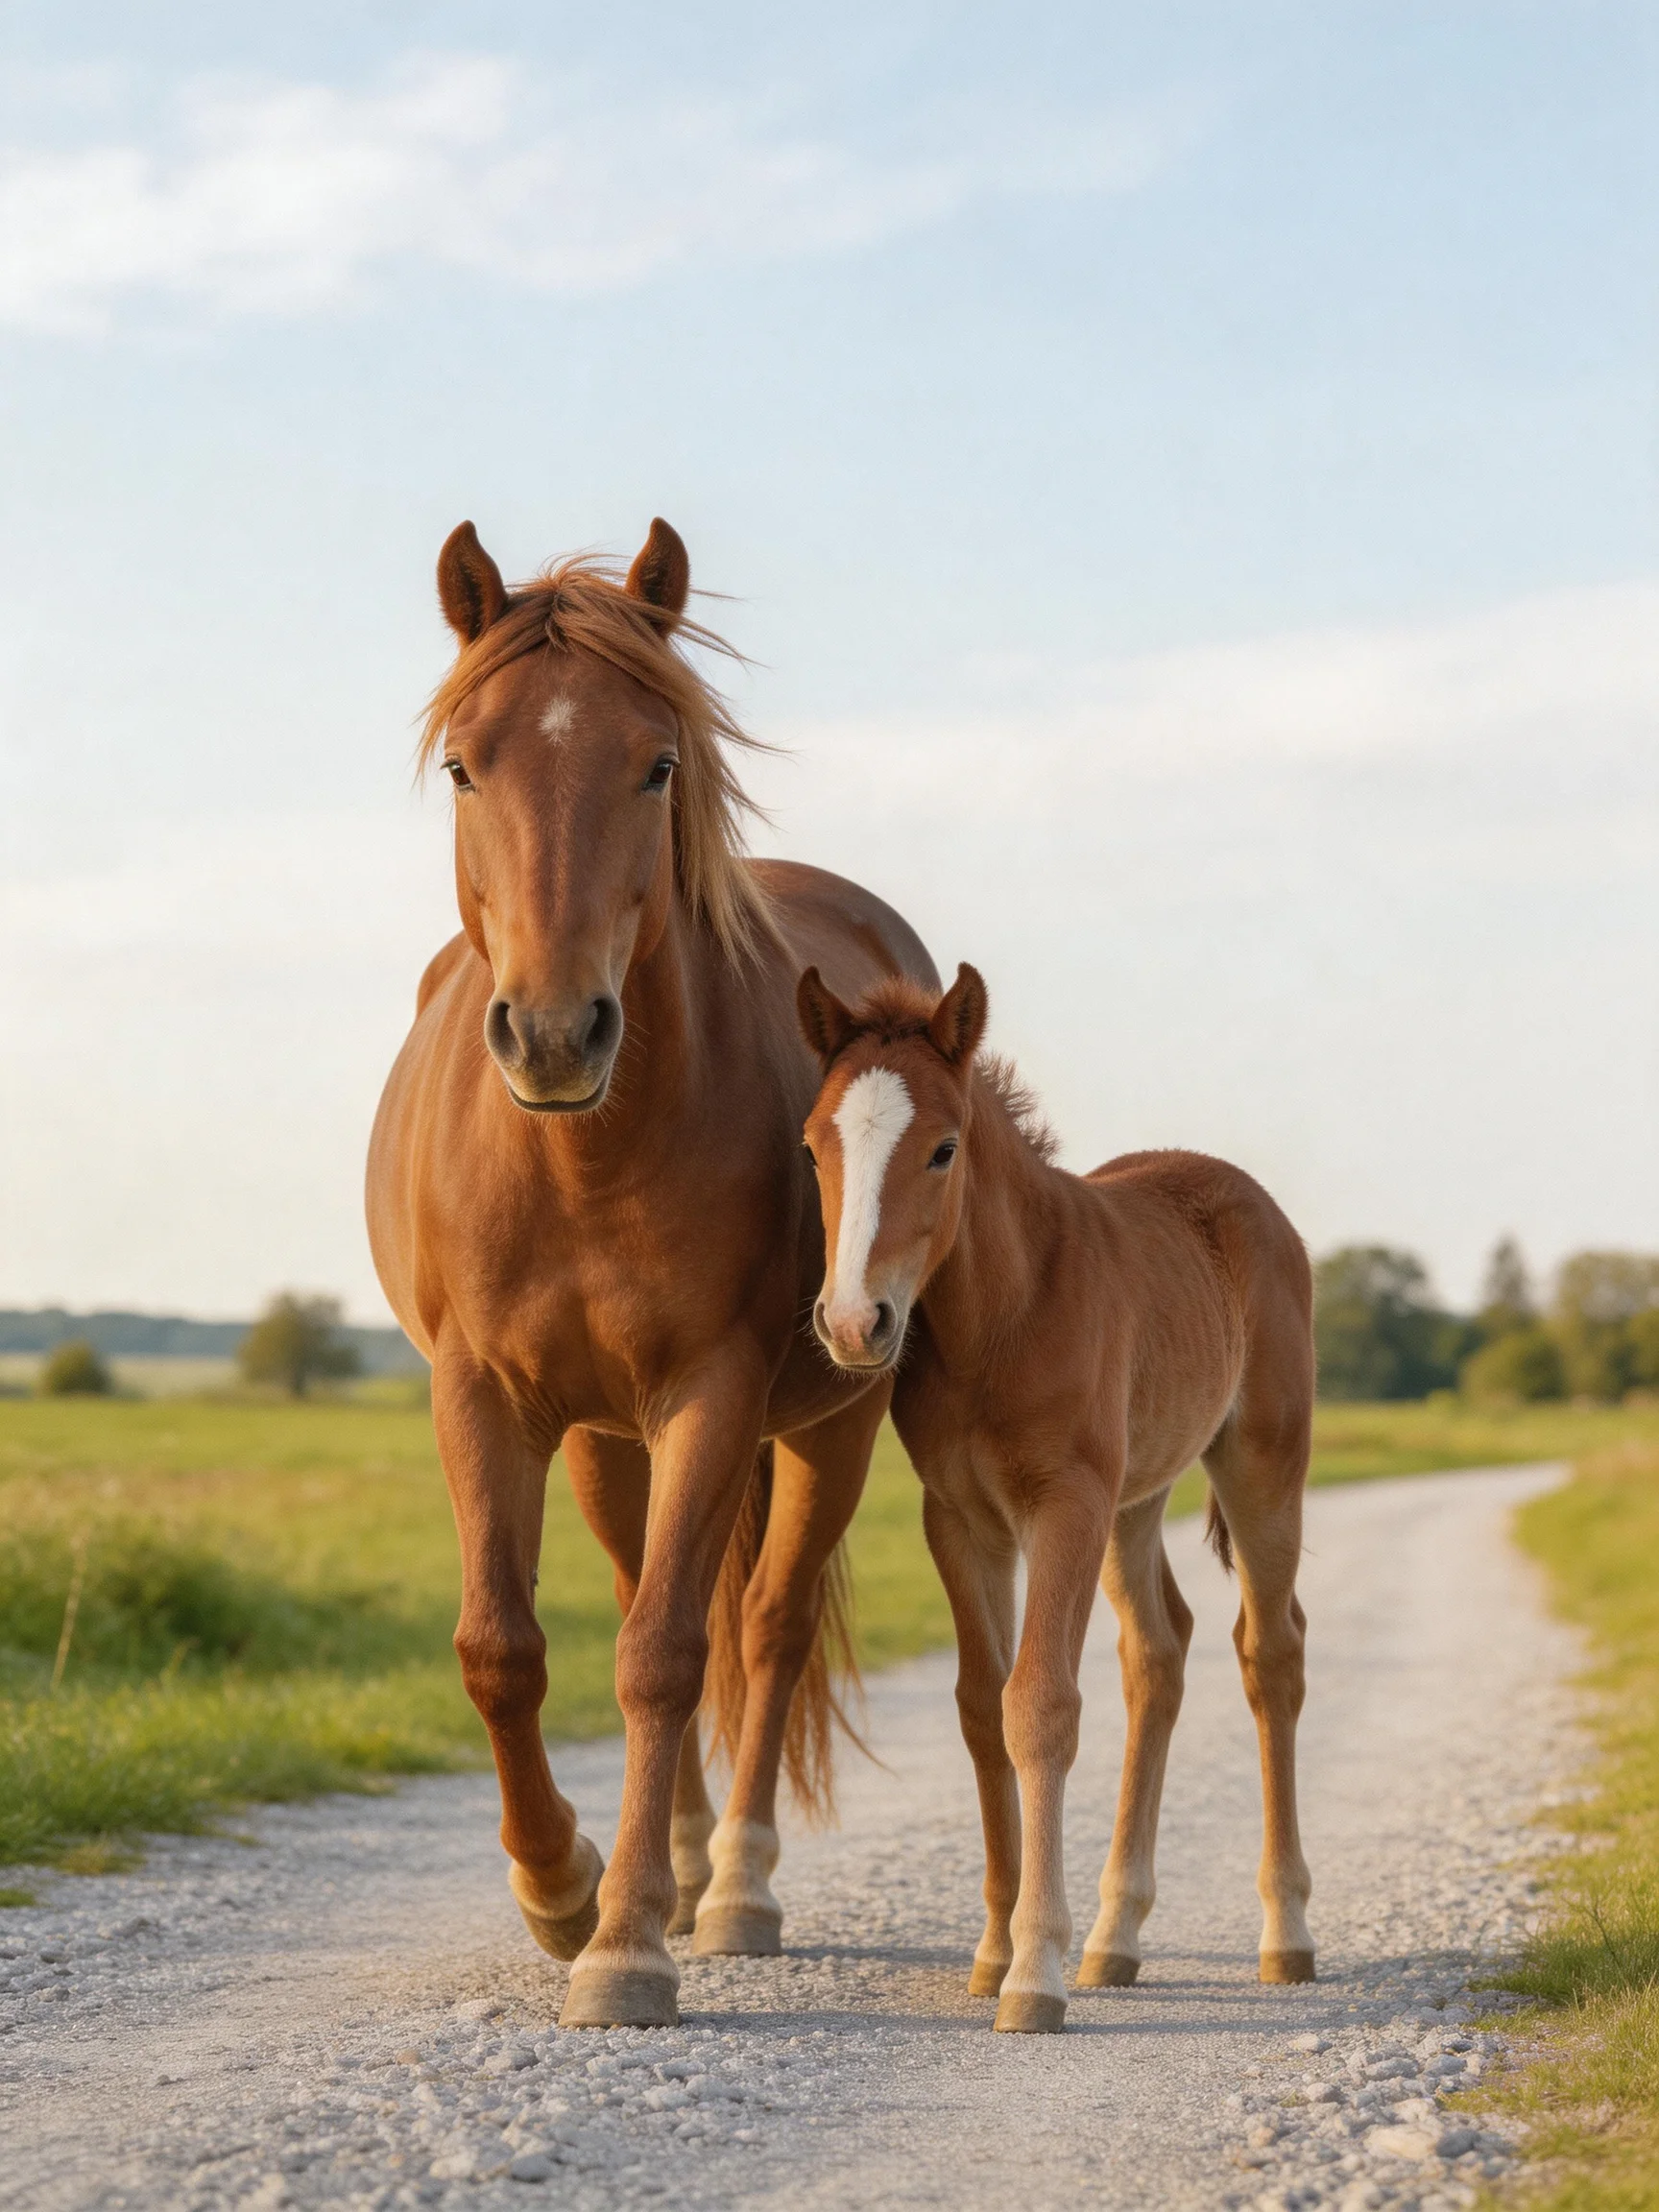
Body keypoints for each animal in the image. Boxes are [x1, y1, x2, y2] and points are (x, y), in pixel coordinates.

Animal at [366, 516, 938, 2030]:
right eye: (467, 764)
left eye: (659, 763)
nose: (558, 1033)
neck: (587, 1157)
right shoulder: (483, 1395)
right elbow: (504, 1649)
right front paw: (563, 1889)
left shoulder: (715, 1393)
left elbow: (675, 1655)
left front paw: (621, 1944)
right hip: (602, 1440)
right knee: (640, 1595)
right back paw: (672, 1869)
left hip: (834, 1418)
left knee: (764, 1629)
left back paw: (728, 1888)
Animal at [795, 961, 1316, 2032]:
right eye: (815, 1145)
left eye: (943, 1149)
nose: (855, 1323)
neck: (1001, 1314)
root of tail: (1248, 1199)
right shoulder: (959, 1519)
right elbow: (977, 1708)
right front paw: (995, 1950)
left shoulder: (1064, 1505)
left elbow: (1038, 1703)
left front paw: (1032, 1972)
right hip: (1135, 1500)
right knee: (1159, 1652)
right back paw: (1116, 1938)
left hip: (1260, 1466)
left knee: (1271, 1651)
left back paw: (1284, 1932)